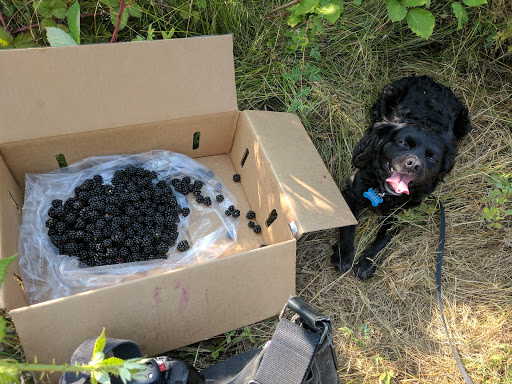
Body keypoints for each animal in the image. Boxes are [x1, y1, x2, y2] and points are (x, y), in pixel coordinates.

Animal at [332, 75, 472, 280]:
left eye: (433, 158)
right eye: (404, 143)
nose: (413, 164)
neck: (383, 192)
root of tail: (435, 82)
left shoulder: (399, 214)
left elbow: (383, 237)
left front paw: (367, 262)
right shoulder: (353, 191)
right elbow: (348, 224)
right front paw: (343, 254)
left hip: (464, 124)